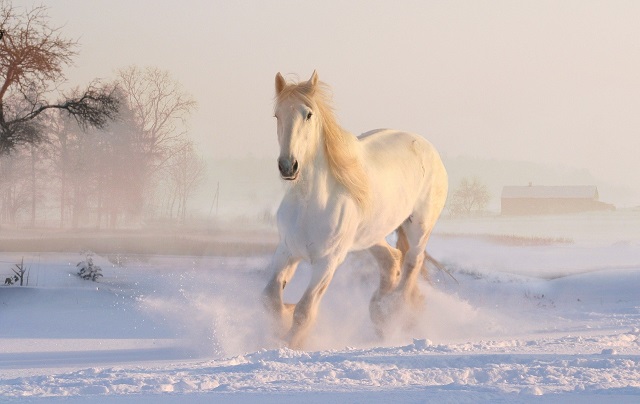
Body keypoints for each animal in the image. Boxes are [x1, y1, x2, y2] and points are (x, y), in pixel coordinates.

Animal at [262, 71, 448, 348]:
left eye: (308, 114)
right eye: (277, 115)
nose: (288, 166)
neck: (310, 203)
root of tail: (428, 147)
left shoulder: (328, 262)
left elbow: (304, 311)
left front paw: (290, 343)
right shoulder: (286, 251)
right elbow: (271, 299)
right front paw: (281, 322)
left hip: (419, 227)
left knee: (412, 263)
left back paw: (394, 311)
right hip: (370, 235)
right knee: (392, 260)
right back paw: (380, 312)